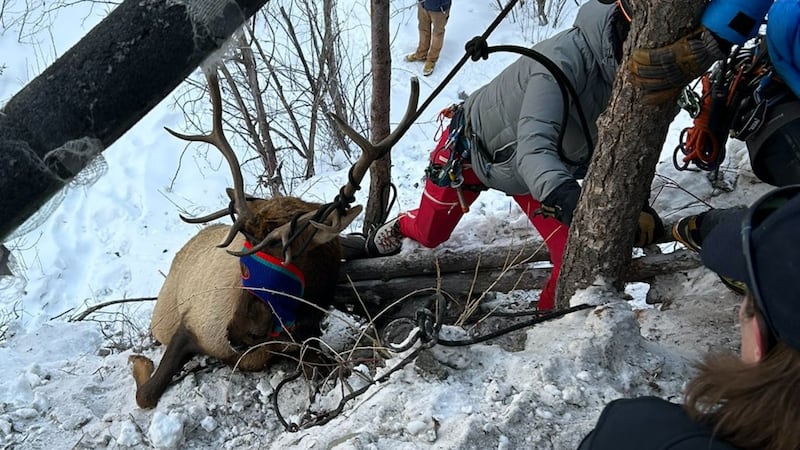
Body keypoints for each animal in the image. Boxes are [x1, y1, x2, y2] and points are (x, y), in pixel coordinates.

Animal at [130, 66, 418, 408]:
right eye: (245, 256)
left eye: (286, 254)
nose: (234, 332)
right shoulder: (190, 326)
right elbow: (145, 394)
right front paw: (139, 362)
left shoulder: (306, 339)